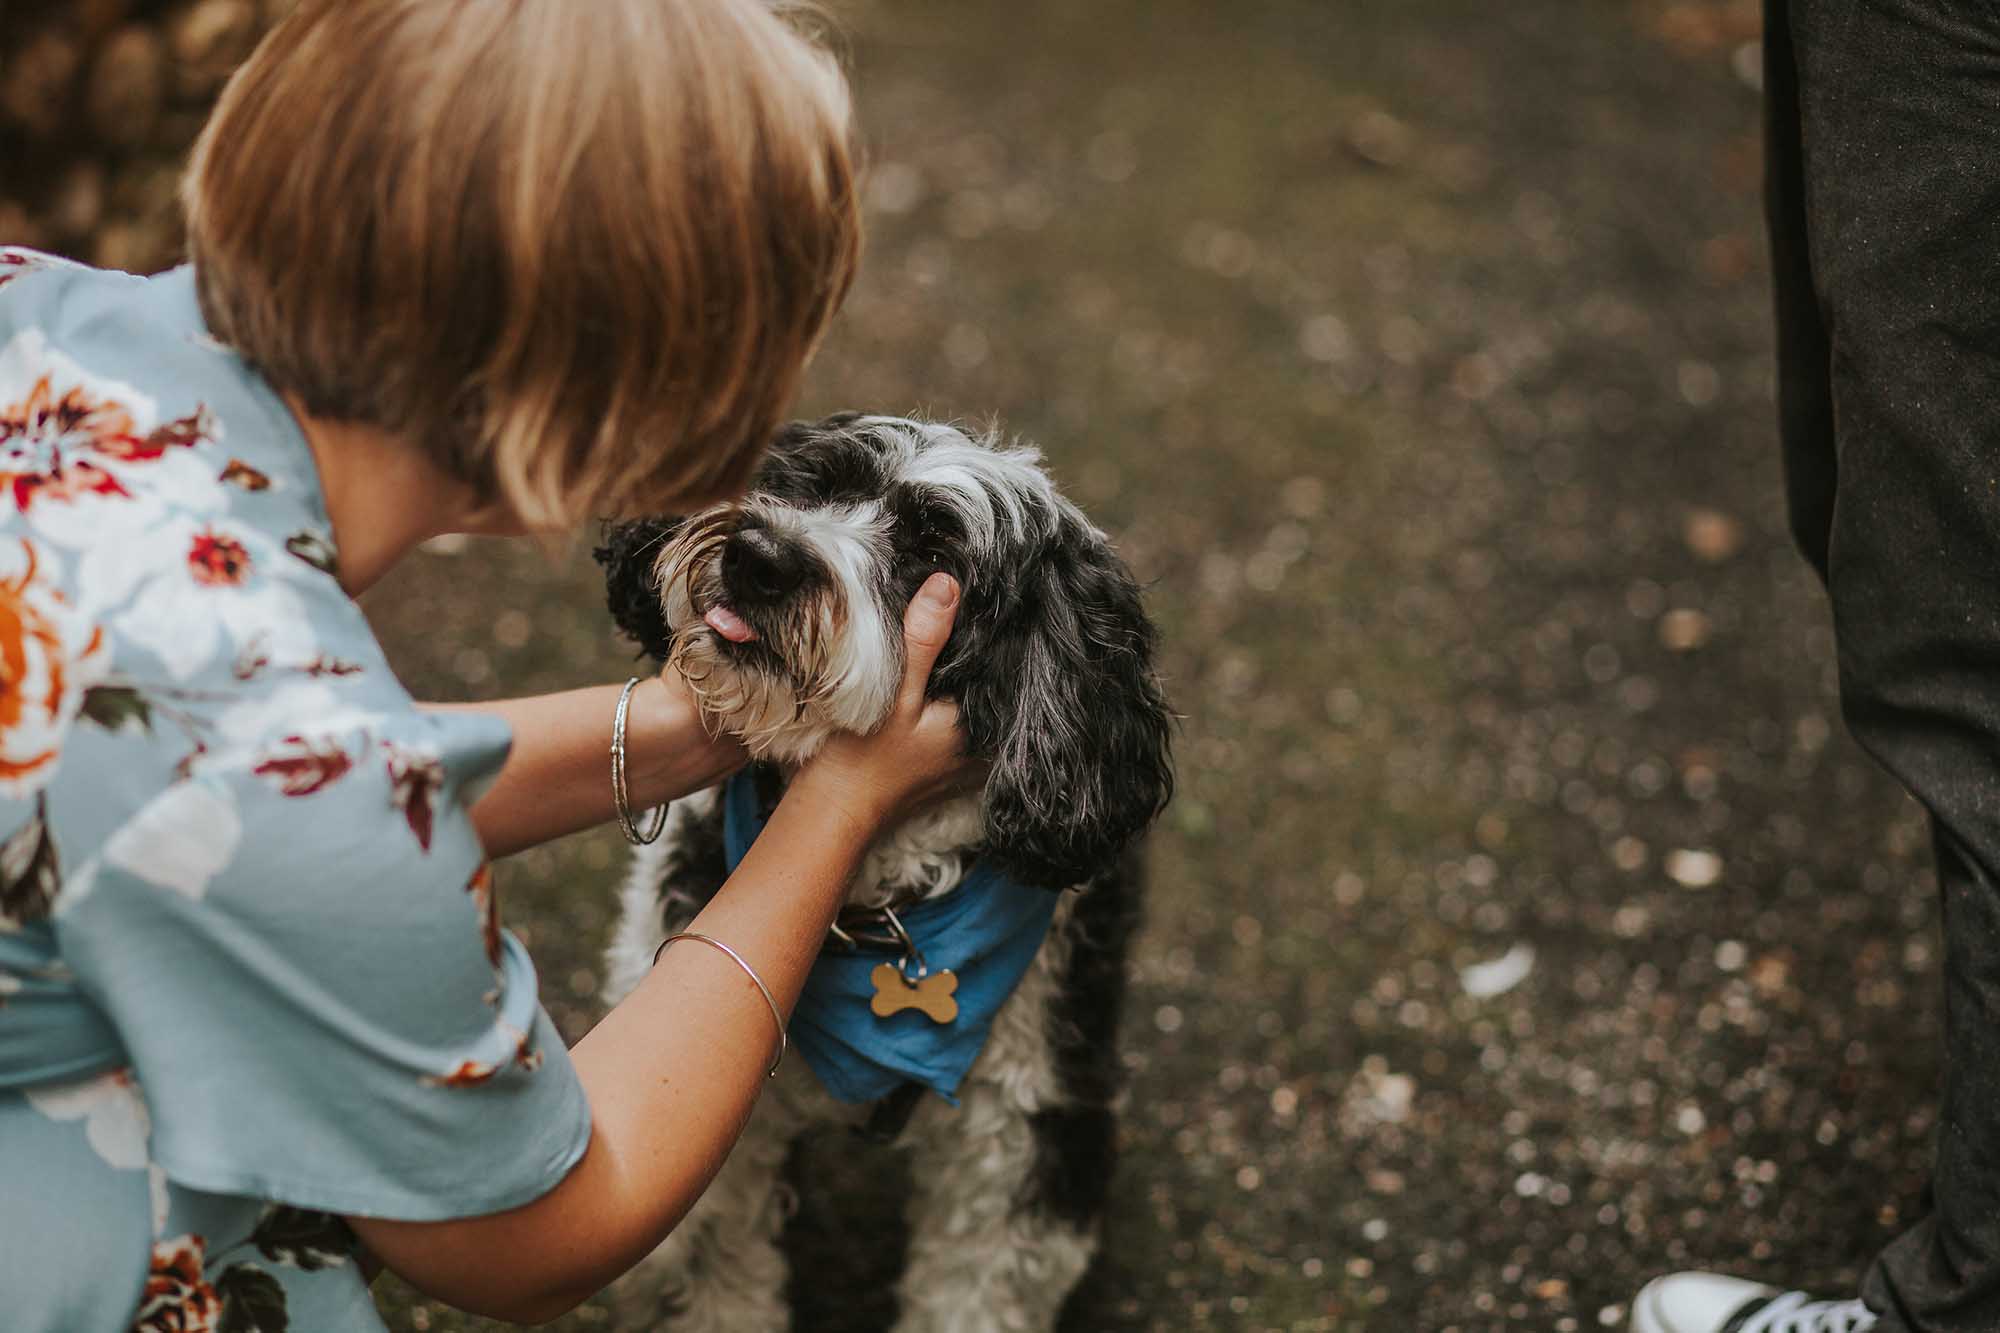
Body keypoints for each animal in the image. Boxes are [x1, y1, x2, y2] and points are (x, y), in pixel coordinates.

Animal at [600, 410, 1176, 1320]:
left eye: (935, 555)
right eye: (812, 483)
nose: (760, 556)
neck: (869, 906)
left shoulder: (1023, 1133)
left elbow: (976, 1287)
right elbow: (711, 1269)